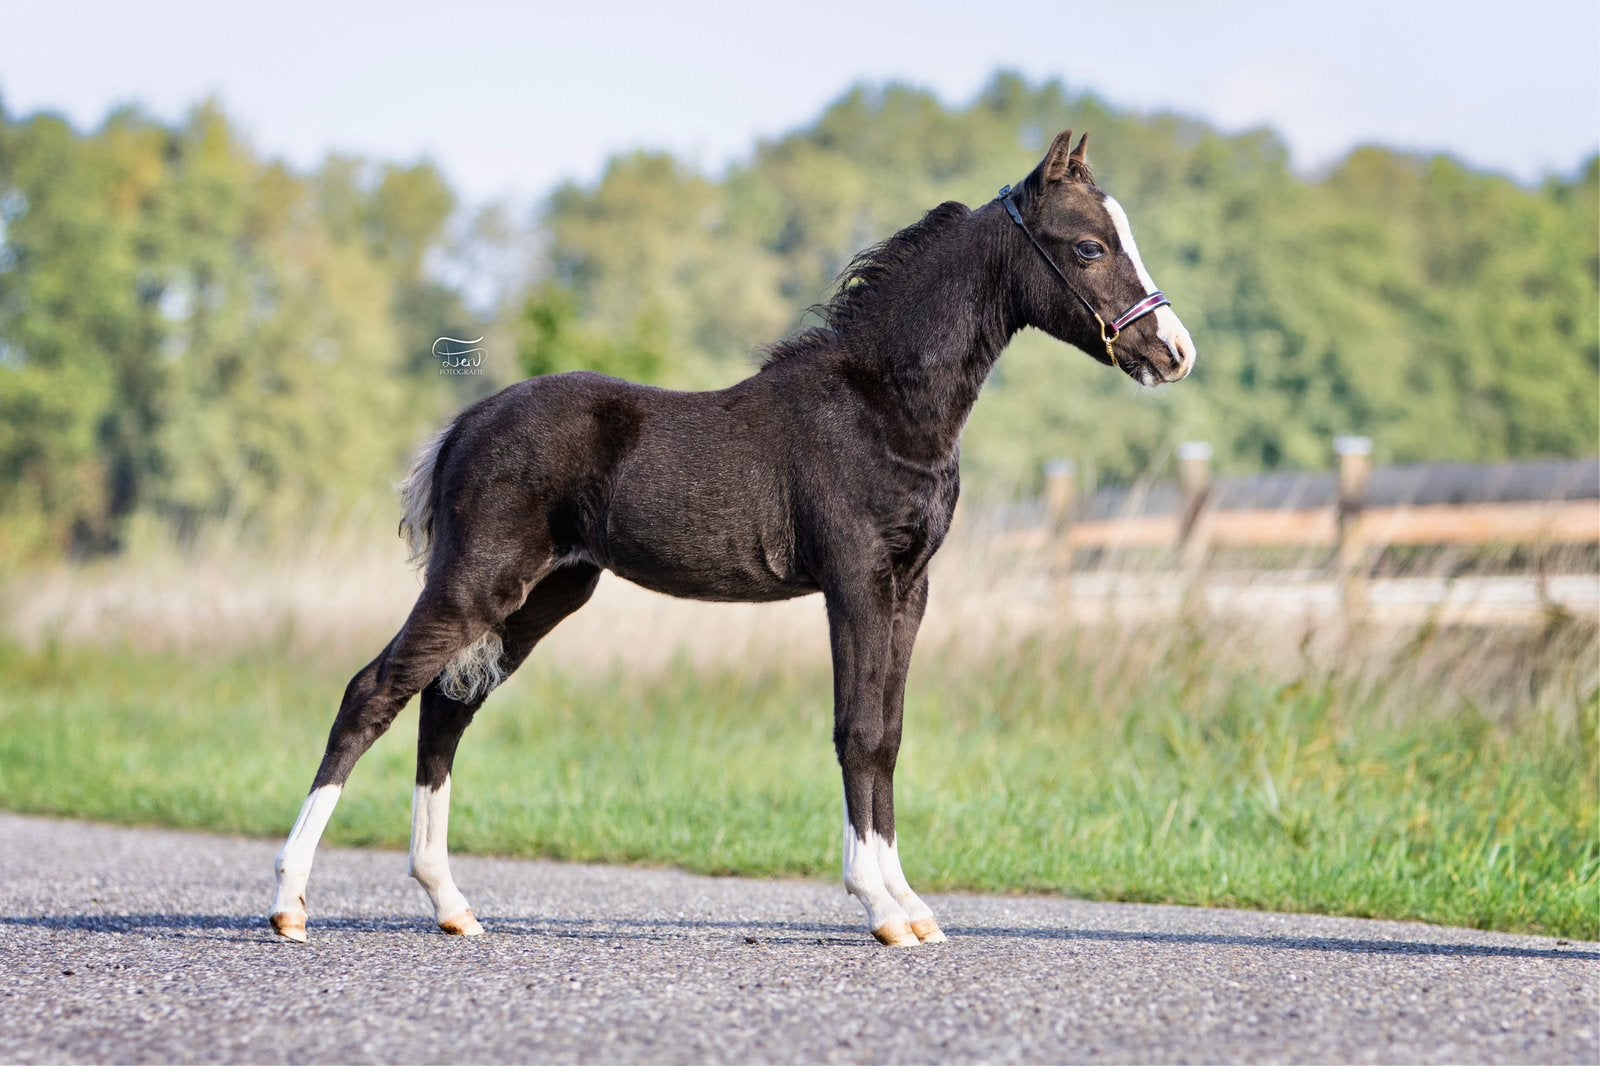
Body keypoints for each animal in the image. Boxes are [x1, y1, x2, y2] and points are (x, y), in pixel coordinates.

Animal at [269, 128, 1195, 947]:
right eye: (1087, 247)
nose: (1174, 353)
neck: (884, 405)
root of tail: (464, 425)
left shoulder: (910, 587)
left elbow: (890, 733)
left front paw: (912, 905)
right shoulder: (856, 580)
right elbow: (858, 729)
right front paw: (880, 908)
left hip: (543, 595)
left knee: (445, 708)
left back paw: (450, 905)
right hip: (477, 582)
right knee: (372, 693)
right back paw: (290, 905)